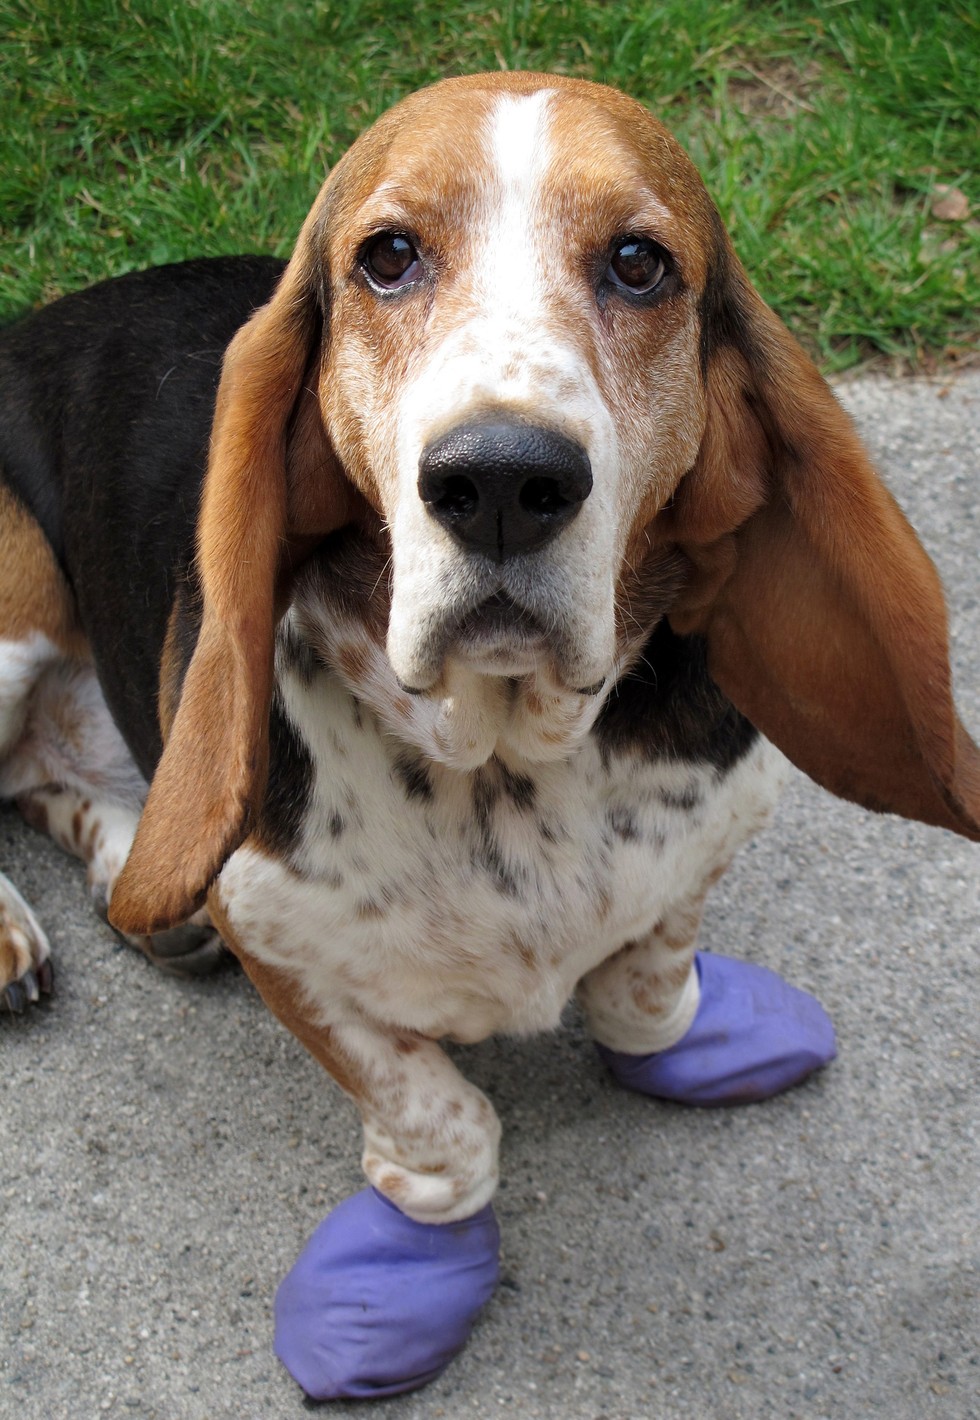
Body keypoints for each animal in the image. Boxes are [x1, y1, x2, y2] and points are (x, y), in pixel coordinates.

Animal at [0, 74, 971, 1397]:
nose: (502, 480)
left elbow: (642, 985)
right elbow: (440, 1116)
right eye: (387, 256)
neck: (507, 755)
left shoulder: (708, 839)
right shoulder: (286, 946)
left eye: (637, 263)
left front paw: (673, 1023)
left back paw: (136, 891)